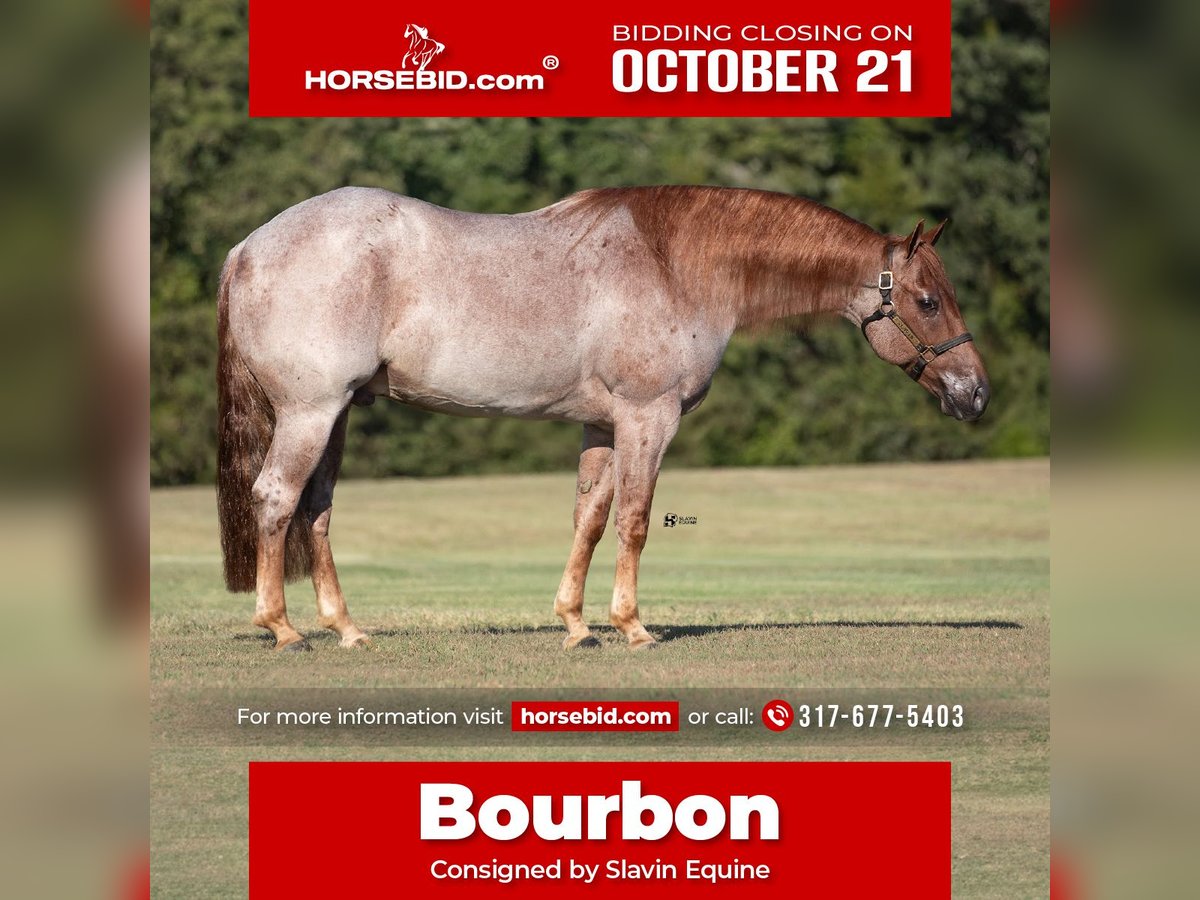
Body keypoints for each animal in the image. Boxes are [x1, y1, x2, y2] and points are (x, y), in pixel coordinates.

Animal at [220, 188, 988, 657]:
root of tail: (247, 248)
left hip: (338, 414)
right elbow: (636, 520)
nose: (975, 393)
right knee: (277, 499)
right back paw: (282, 629)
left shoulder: (602, 427)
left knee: (316, 510)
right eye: (926, 301)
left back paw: (346, 629)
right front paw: (632, 626)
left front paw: (576, 624)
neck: (676, 264)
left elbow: (589, 518)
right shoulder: (649, 417)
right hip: (312, 413)